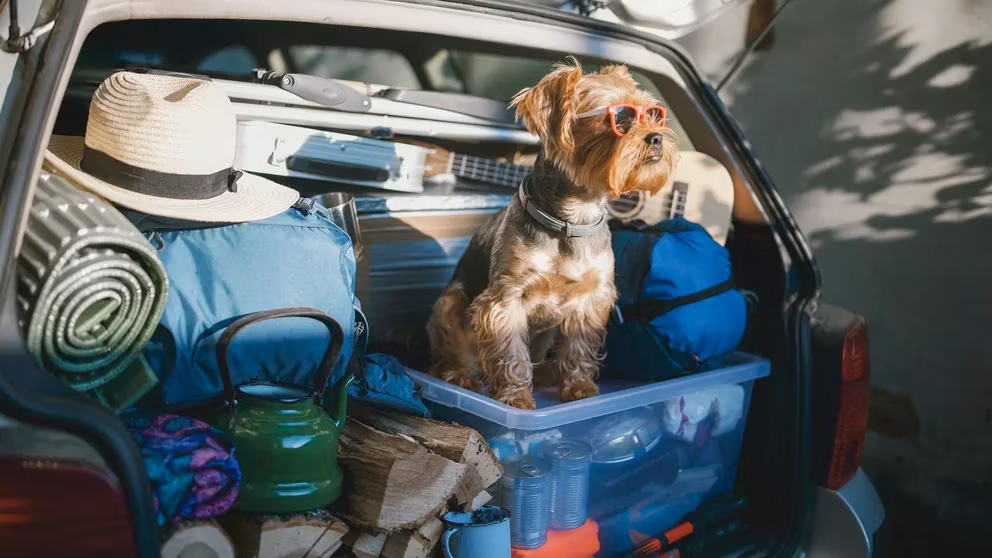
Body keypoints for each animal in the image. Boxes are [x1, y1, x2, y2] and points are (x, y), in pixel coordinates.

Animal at [426, 59, 680, 412]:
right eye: (620, 118)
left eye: (654, 114)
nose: (657, 138)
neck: (573, 218)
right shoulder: (506, 299)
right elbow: (511, 353)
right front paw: (515, 398)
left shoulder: (591, 297)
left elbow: (578, 346)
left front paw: (580, 387)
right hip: (449, 303)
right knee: (451, 352)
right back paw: (459, 374)